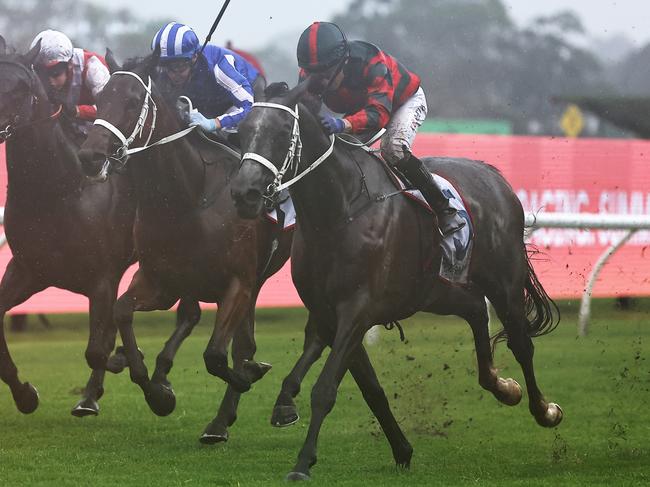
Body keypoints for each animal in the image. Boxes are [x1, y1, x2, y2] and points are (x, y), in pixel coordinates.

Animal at [0, 36, 139, 418]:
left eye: (21, 88)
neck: (58, 190)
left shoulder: (102, 278)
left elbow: (98, 347)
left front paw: (120, 360)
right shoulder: (30, 270)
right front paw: (25, 394)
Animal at [75, 54, 292, 442]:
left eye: (132, 101)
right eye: (99, 100)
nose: (89, 156)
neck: (187, 197)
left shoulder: (239, 283)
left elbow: (218, 355)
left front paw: (246, 378)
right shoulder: (159, 282)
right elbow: (121, 311)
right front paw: (158, 393)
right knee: (195, 319)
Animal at [230, 82, 560, 482]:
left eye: (280, 133)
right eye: (242, 132)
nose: (243, 193)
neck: (337, 212)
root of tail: (494, 175)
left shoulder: (356, 310)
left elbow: (324, 390)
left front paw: (302, 463)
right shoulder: (330, 314)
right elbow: (368, 389)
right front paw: (402, 449)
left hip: (503, 280)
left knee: (521, 342)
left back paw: (544, 409)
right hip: (434, 290)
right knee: (474, 311)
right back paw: (501, 386)